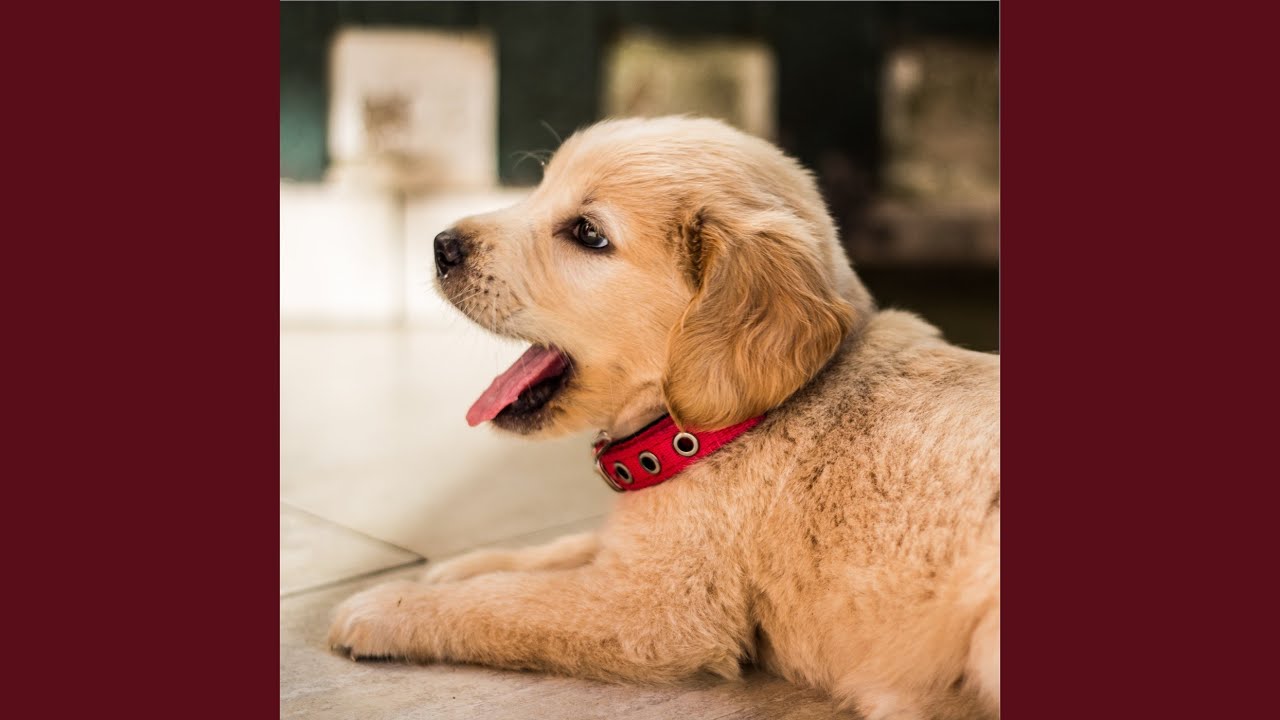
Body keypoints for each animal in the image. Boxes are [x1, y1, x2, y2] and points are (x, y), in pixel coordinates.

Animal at [329, 116, 1000, 720]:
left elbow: (505, 602)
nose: (442, 245)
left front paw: (387, 606)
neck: (706, 431)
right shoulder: (638, 549)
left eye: (588, 233)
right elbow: (558, 550)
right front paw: (457, 568)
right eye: (543, 186)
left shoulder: (655, 610)